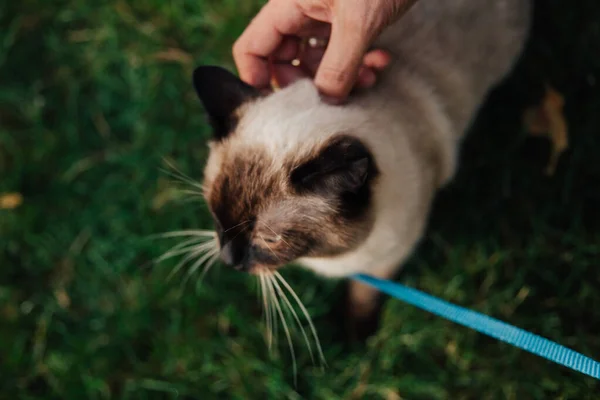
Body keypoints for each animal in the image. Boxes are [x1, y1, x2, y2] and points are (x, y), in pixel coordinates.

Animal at [188, 0, 528, 338]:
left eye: (270, 241)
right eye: (215, 215)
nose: (228, 260)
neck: (332, 258)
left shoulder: (386, 260)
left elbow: (364, 296)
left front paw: (357, 335)